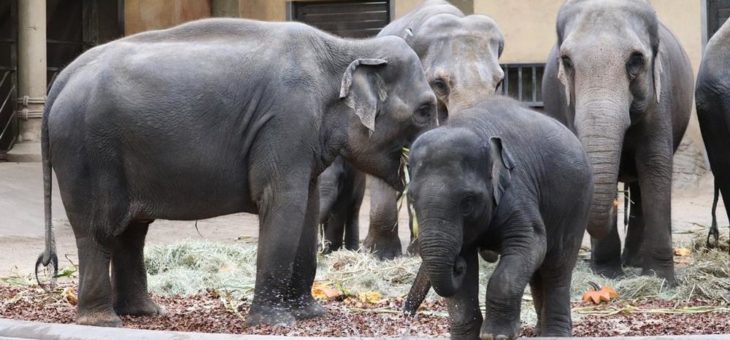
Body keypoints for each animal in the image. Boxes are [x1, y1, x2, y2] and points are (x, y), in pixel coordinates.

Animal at [37, 17, 436, 326]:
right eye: (424, 111)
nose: (405, 315)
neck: (347, 48)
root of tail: (61, 79)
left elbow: (305, 208)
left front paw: (311, 315)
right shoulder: (286, 120)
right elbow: (282, 202)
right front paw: (275, 323)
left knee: (131, 232)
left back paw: (143, 313)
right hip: (86, 152)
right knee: (99, 231)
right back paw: (102, 320)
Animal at [400, 96, 596, 340]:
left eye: (467, 201)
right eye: (412, 198)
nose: (407, 315)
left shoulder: (517, 190)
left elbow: (530, 243)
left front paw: (496, 335)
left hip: (578, 203)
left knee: (557, 265)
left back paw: (554, 335)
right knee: (538, 272)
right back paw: (539, 332)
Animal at [540, 0, 692, 282]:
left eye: (636, 60)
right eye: (566, 61)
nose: (613, 205)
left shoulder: (660, 98)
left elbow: (654, 164)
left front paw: (661, 279)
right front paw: (608, 274)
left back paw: (635, 261)